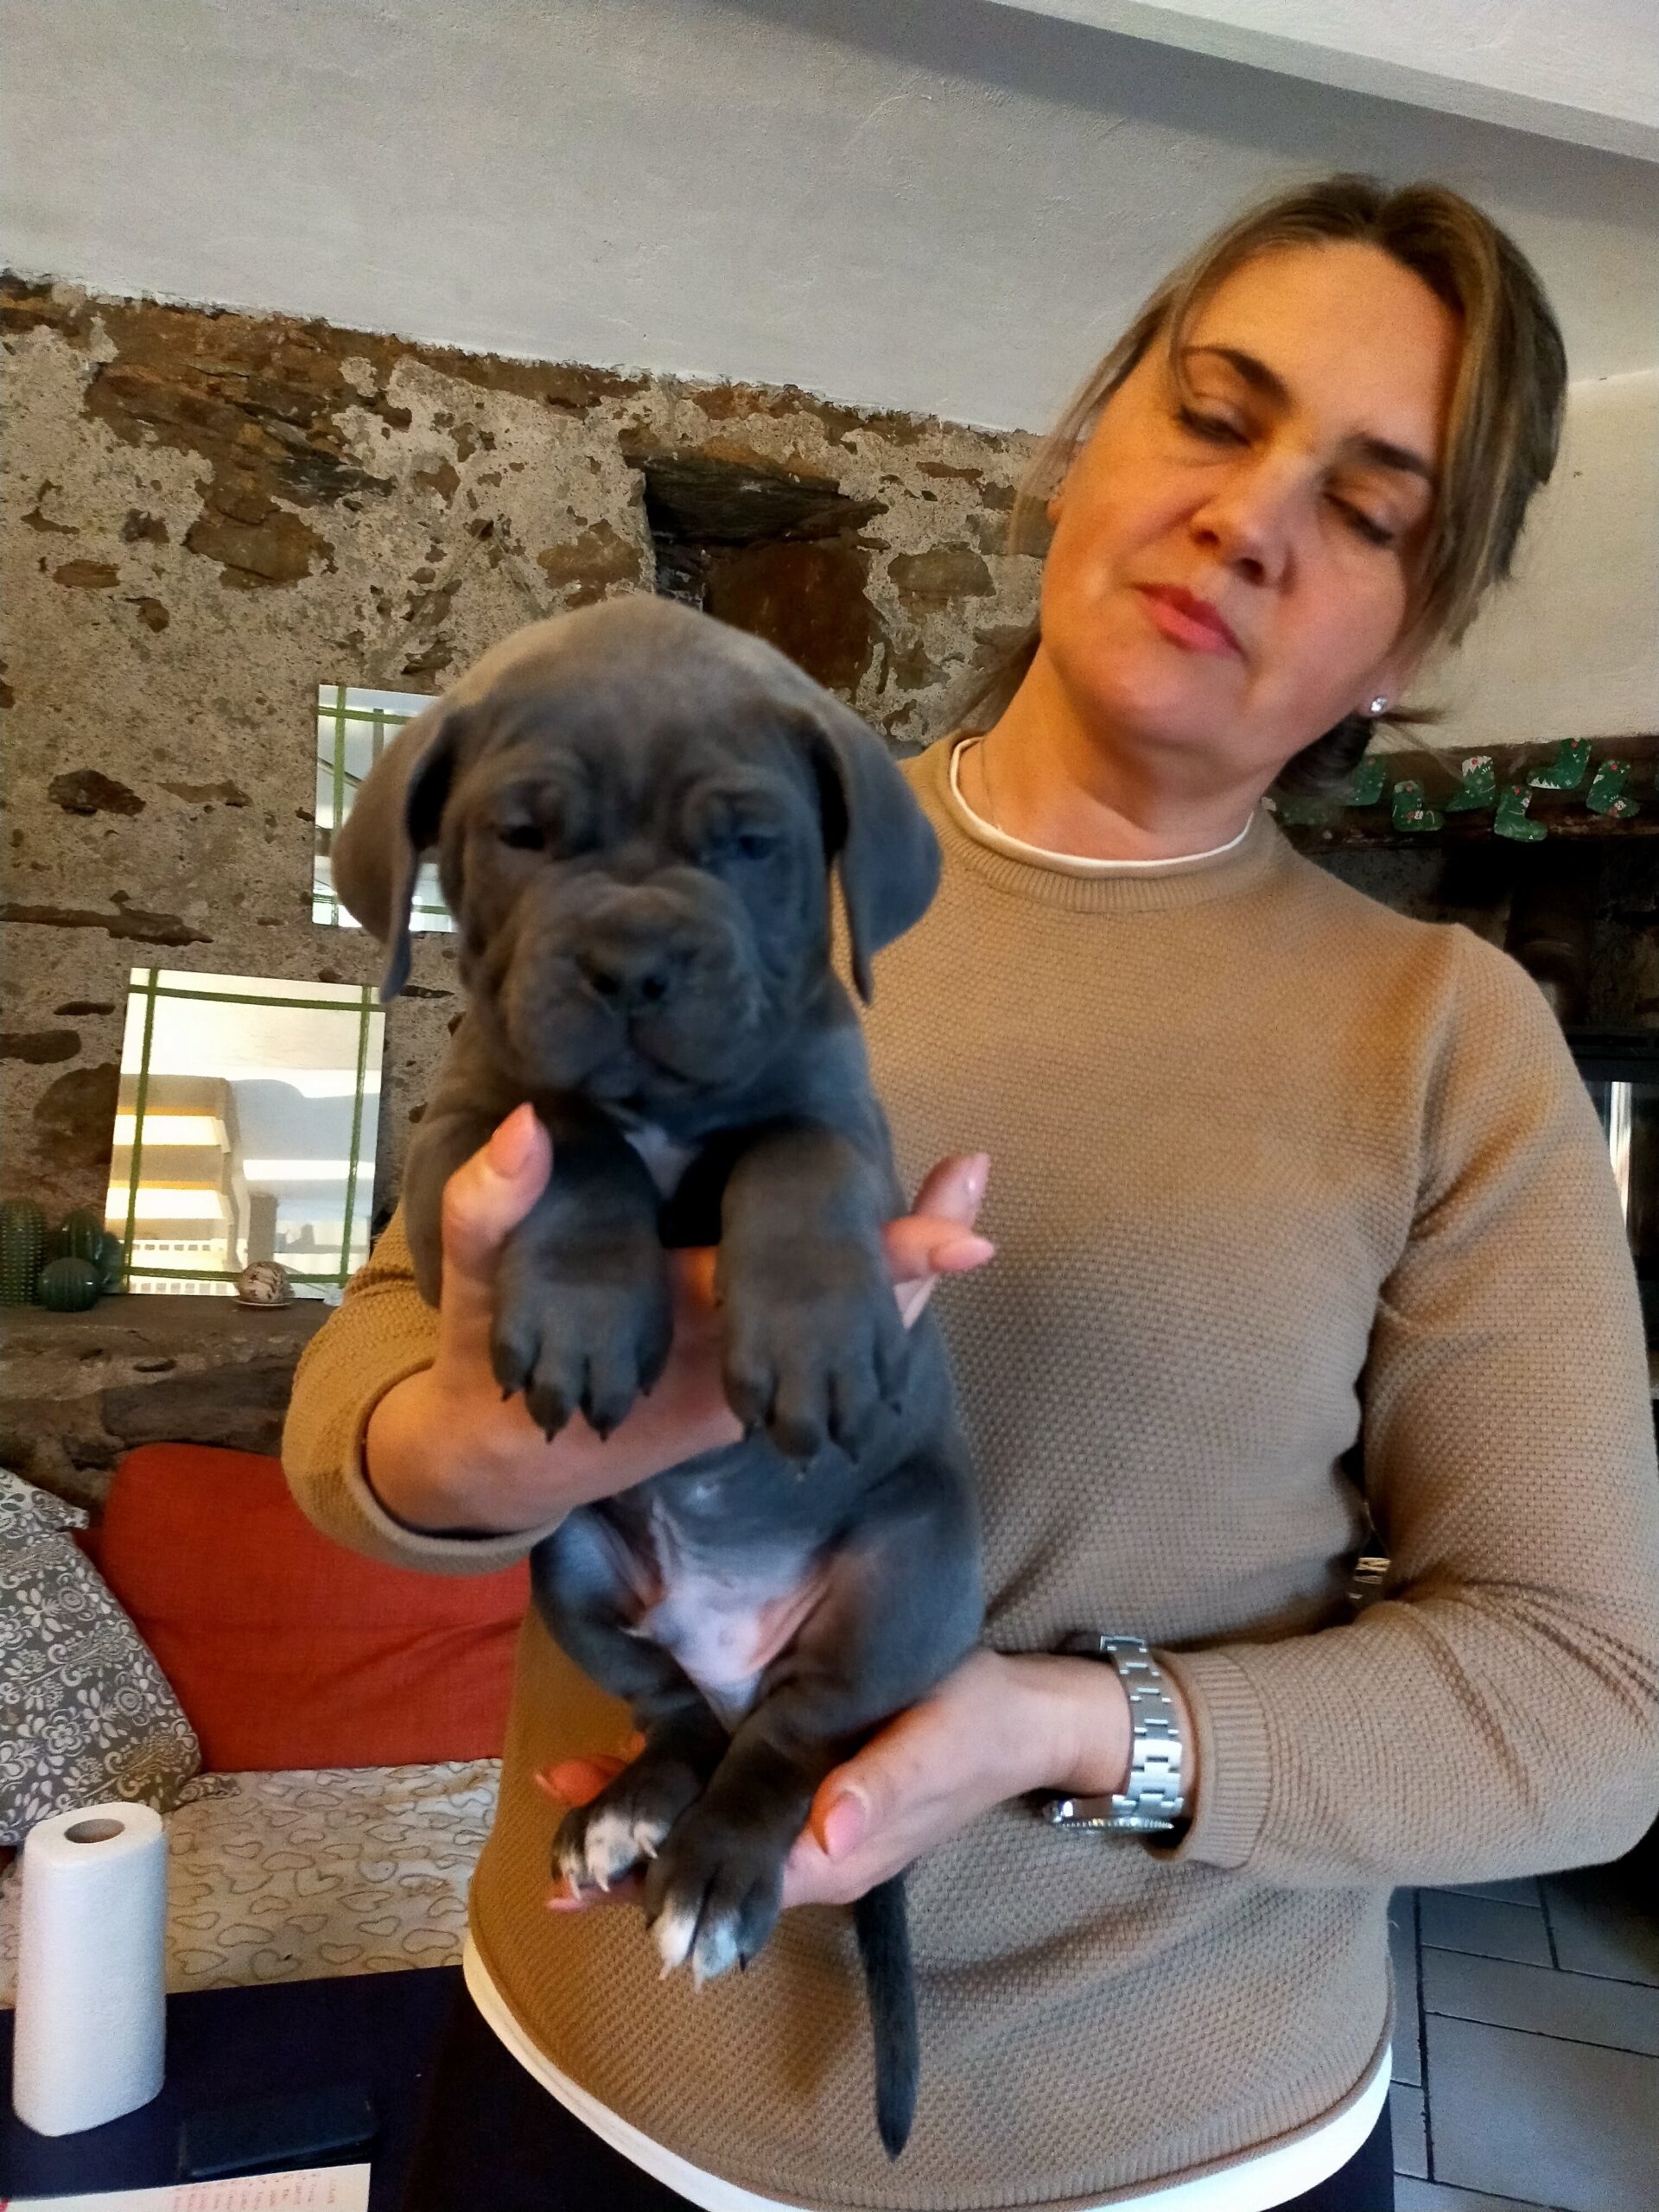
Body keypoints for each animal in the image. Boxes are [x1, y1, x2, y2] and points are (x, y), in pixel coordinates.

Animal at [338, 597, 986, 2150]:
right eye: (522, 833)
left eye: (748, 843)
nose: (633, 959)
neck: (667, 1110)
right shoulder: (459, 1153)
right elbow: (576, 1137)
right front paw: (587, 1305)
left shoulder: (841, 1118)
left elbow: (794, 1153)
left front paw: (814, 1335)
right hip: (574, 1566)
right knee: (676, 1715)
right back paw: (633, 1813)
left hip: (915, 1563)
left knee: (791, 1744)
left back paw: (716, 1873)